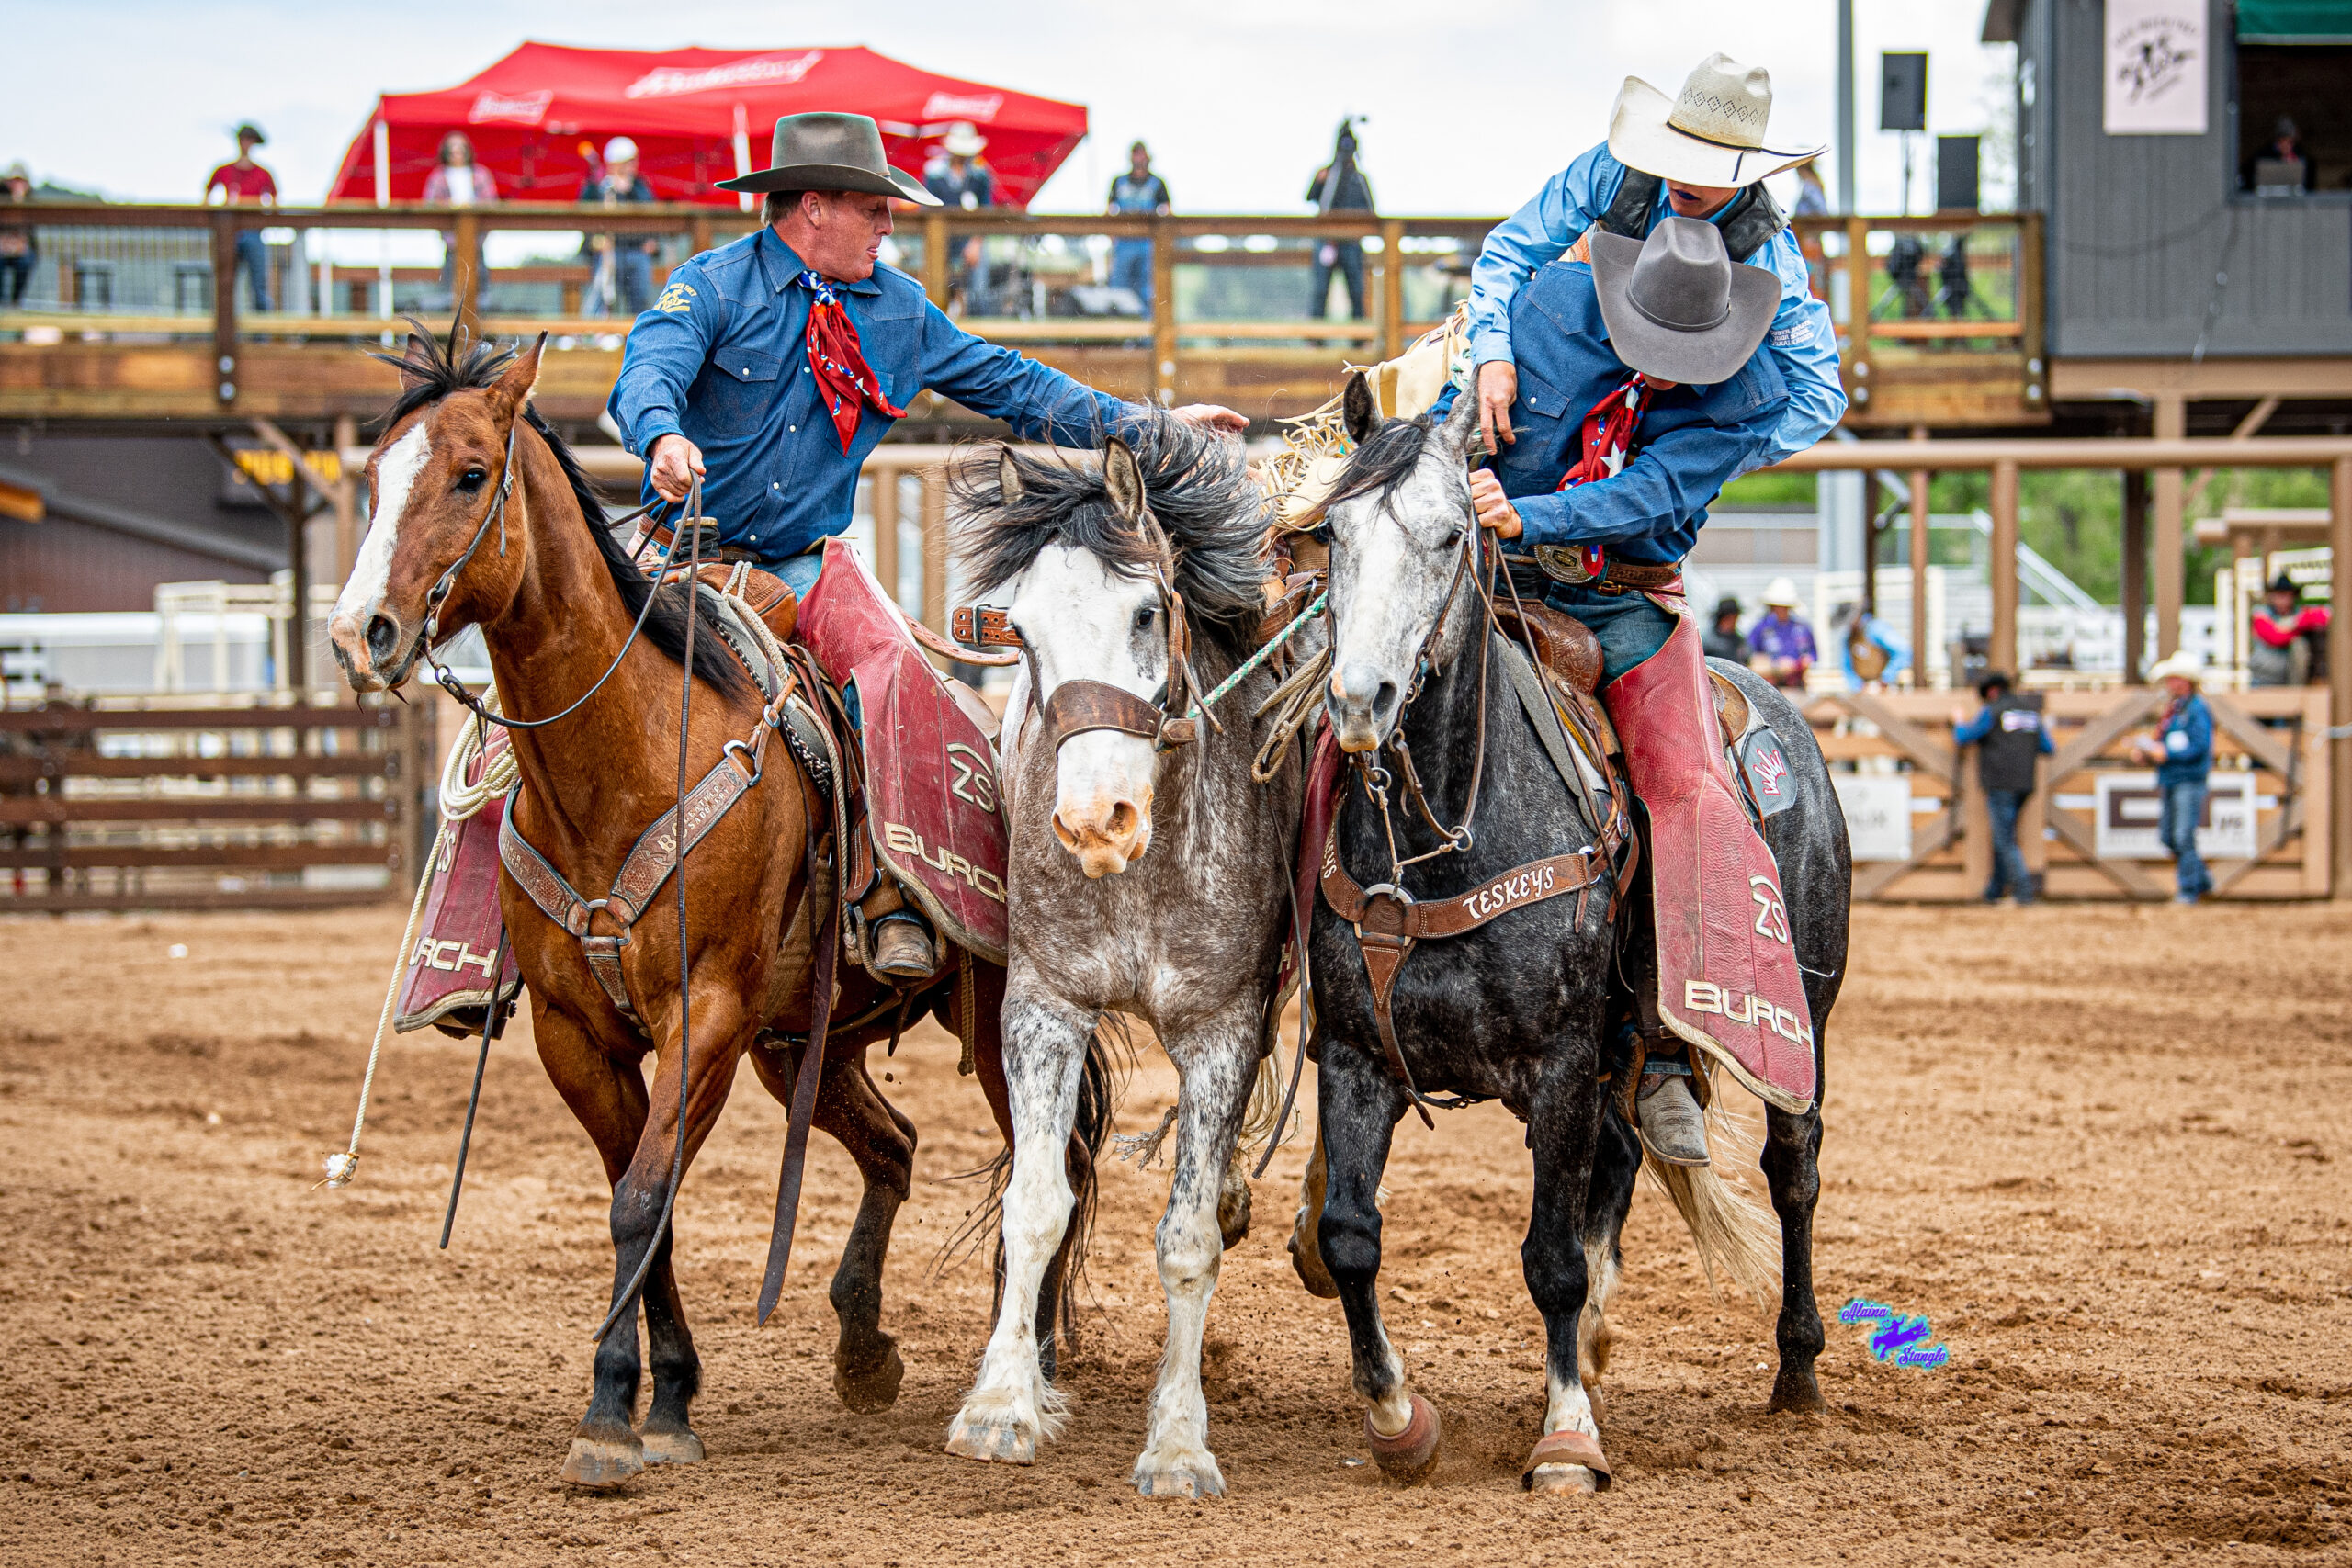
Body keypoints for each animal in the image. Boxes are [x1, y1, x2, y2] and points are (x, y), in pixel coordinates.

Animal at [324, 333, 1101, 1495]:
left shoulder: (709, 1011)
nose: (357, 631)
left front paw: (622, 1409)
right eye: (373, 479)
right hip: (803, 1043)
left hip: (993, 1019)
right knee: (894, 1147)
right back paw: (863, 1348)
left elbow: (645, 1199)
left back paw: (1032, 1367)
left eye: (468, 474)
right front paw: (652, 1399)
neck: (622, 756)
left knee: (1049, 1167)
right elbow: (641, 1204)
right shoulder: (579, 1035)